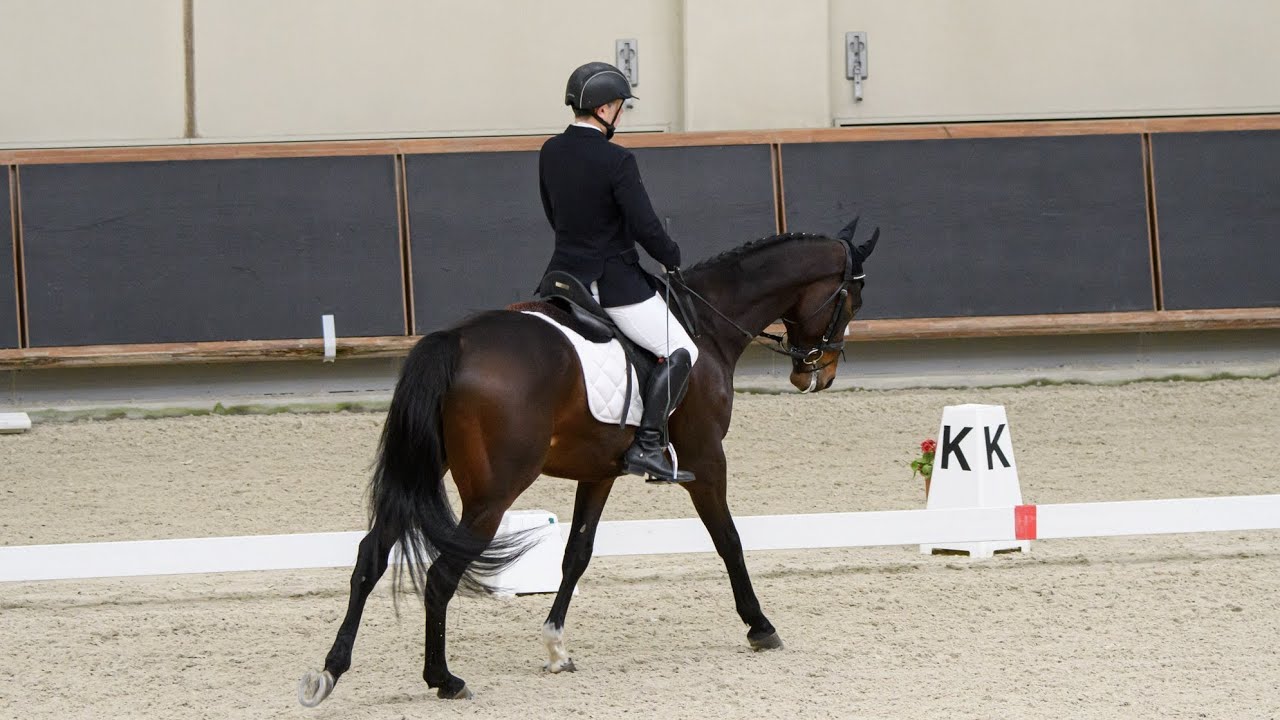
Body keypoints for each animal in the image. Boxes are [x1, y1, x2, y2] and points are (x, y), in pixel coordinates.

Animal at [299, 218, 879, 705]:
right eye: (852, 298)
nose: (817, 374)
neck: (707, 326)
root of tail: (456, 341)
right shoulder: (706, 459)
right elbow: (728, 540)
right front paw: (760, 626)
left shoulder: (600, 472)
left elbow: (576, 554)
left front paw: (556, 647)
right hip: (493, 493)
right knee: (441, 575)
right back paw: (444, 680)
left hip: (426, 471)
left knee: (370, 557)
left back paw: (330, 671)